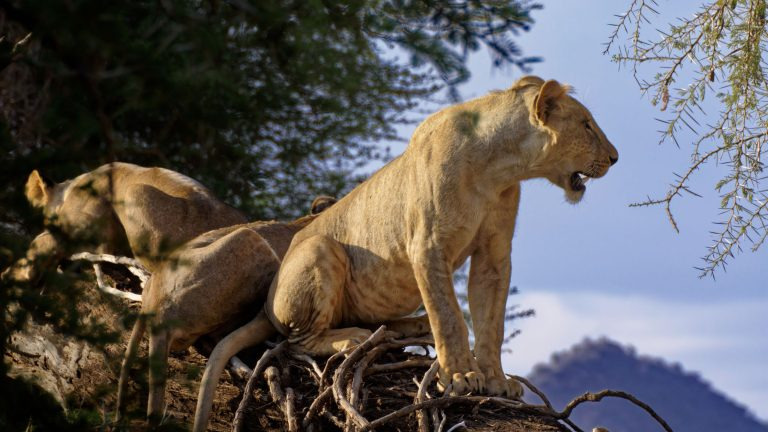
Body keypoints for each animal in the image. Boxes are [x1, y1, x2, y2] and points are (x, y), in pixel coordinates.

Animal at [192, 76, 618, 431]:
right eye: (586, 125)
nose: (615, 158)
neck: (500, 167)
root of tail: (265, 304)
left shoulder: (494, 256)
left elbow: (490, 322)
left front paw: (497, 381)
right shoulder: (428, 246)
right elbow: (450, 316)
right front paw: (461, 377)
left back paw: (406, 329)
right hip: (320, 248)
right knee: (296, 341)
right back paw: (353, 338)